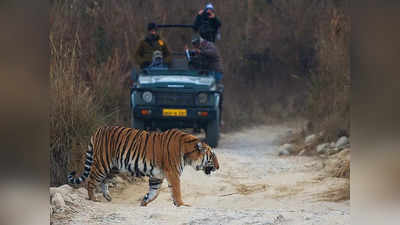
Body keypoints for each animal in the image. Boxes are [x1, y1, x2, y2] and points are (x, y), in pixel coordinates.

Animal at [68, 125, 219, 207]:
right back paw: (93, 199)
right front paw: (182, 204)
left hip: (113, 168)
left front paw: (144, 201)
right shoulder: (173, 173)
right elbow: (176, 190)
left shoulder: (157, 176)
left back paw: (108, 197)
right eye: (212, 156)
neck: (188, 154)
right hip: (102, 163)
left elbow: (154, 193)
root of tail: (98, 130)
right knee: (91, 181)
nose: (218, 167)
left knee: (104, 182)